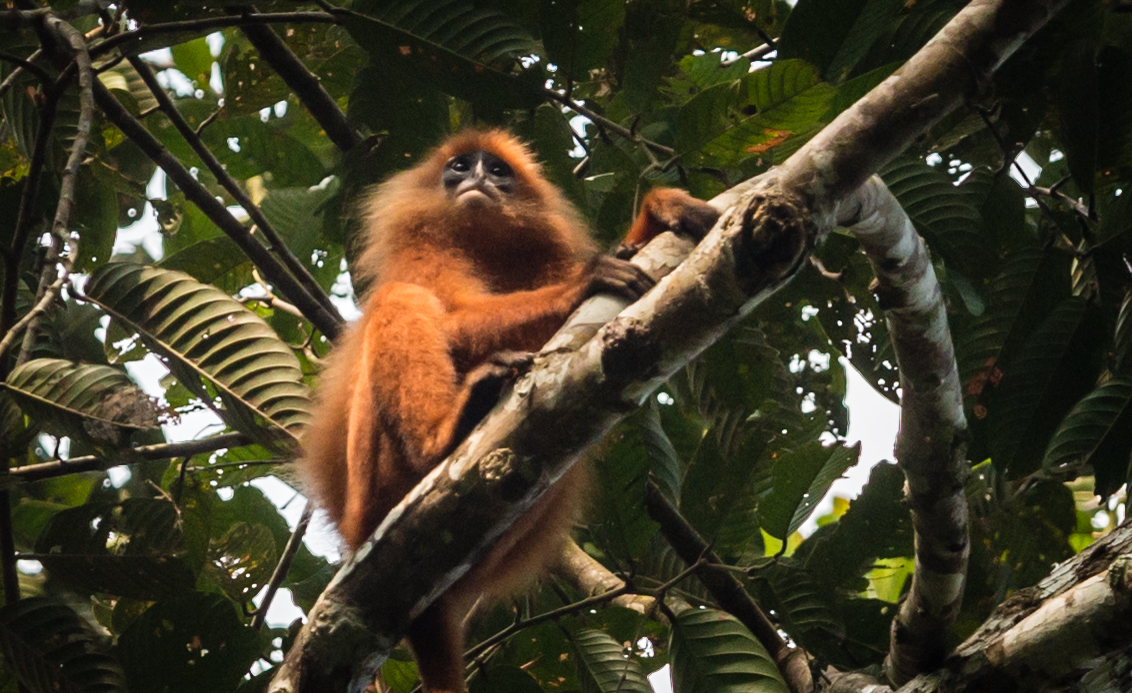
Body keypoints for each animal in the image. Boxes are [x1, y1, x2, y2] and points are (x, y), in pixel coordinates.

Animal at [301, 131, 719, 693]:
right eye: (459, 166)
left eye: (497, 170)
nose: (478, 177)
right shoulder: (420, 245)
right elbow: (453, 320)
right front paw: (579, 285)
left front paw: (654, 217)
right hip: (370, 492)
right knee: (401, 296)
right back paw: (444, 436)